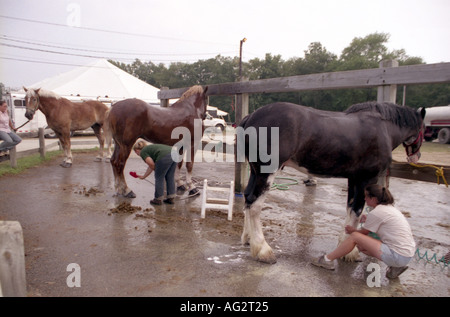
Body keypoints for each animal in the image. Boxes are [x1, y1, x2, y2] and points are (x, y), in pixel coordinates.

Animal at [239, 101, 426, 262]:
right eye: (424, 129)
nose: (416, 156)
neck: (383, 128)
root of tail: (252, 117)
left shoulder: (354, 178)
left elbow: (350, 209)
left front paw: (345, 244)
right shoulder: (366, 179)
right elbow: (357, 211)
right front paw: (351, 252)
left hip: (255, 172)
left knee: (247, 199)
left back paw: (248, 238)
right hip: (266, 172)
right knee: (254, 205)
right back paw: (263, 250)